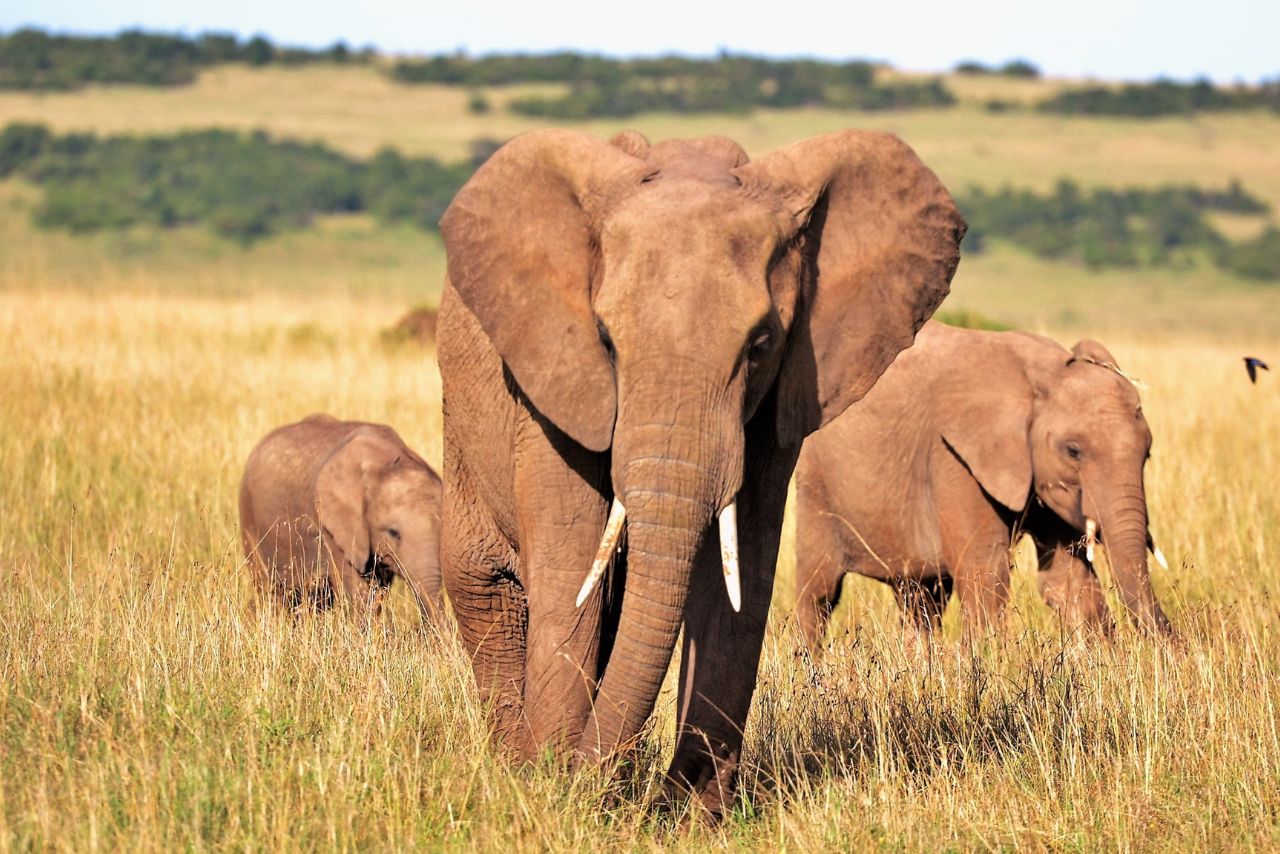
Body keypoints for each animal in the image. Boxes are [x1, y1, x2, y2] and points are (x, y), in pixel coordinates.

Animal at [435, 127, 965, 816]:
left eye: (761, 344)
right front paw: (550, 791)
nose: (583, 778)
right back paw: (513, 768)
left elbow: (740, 576)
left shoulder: (778, 400)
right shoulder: (551, 382)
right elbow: (571, 566)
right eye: (605, 339)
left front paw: (690, 816)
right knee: (488, 588)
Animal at [794, 322, 1175, 649]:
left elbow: (1067, 581)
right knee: (819, 592)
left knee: (922, 599)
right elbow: (986, 575)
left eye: (1147, 453)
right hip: (815, 481)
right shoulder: (953, 456)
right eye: (1073, 451)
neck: (1042, 374)